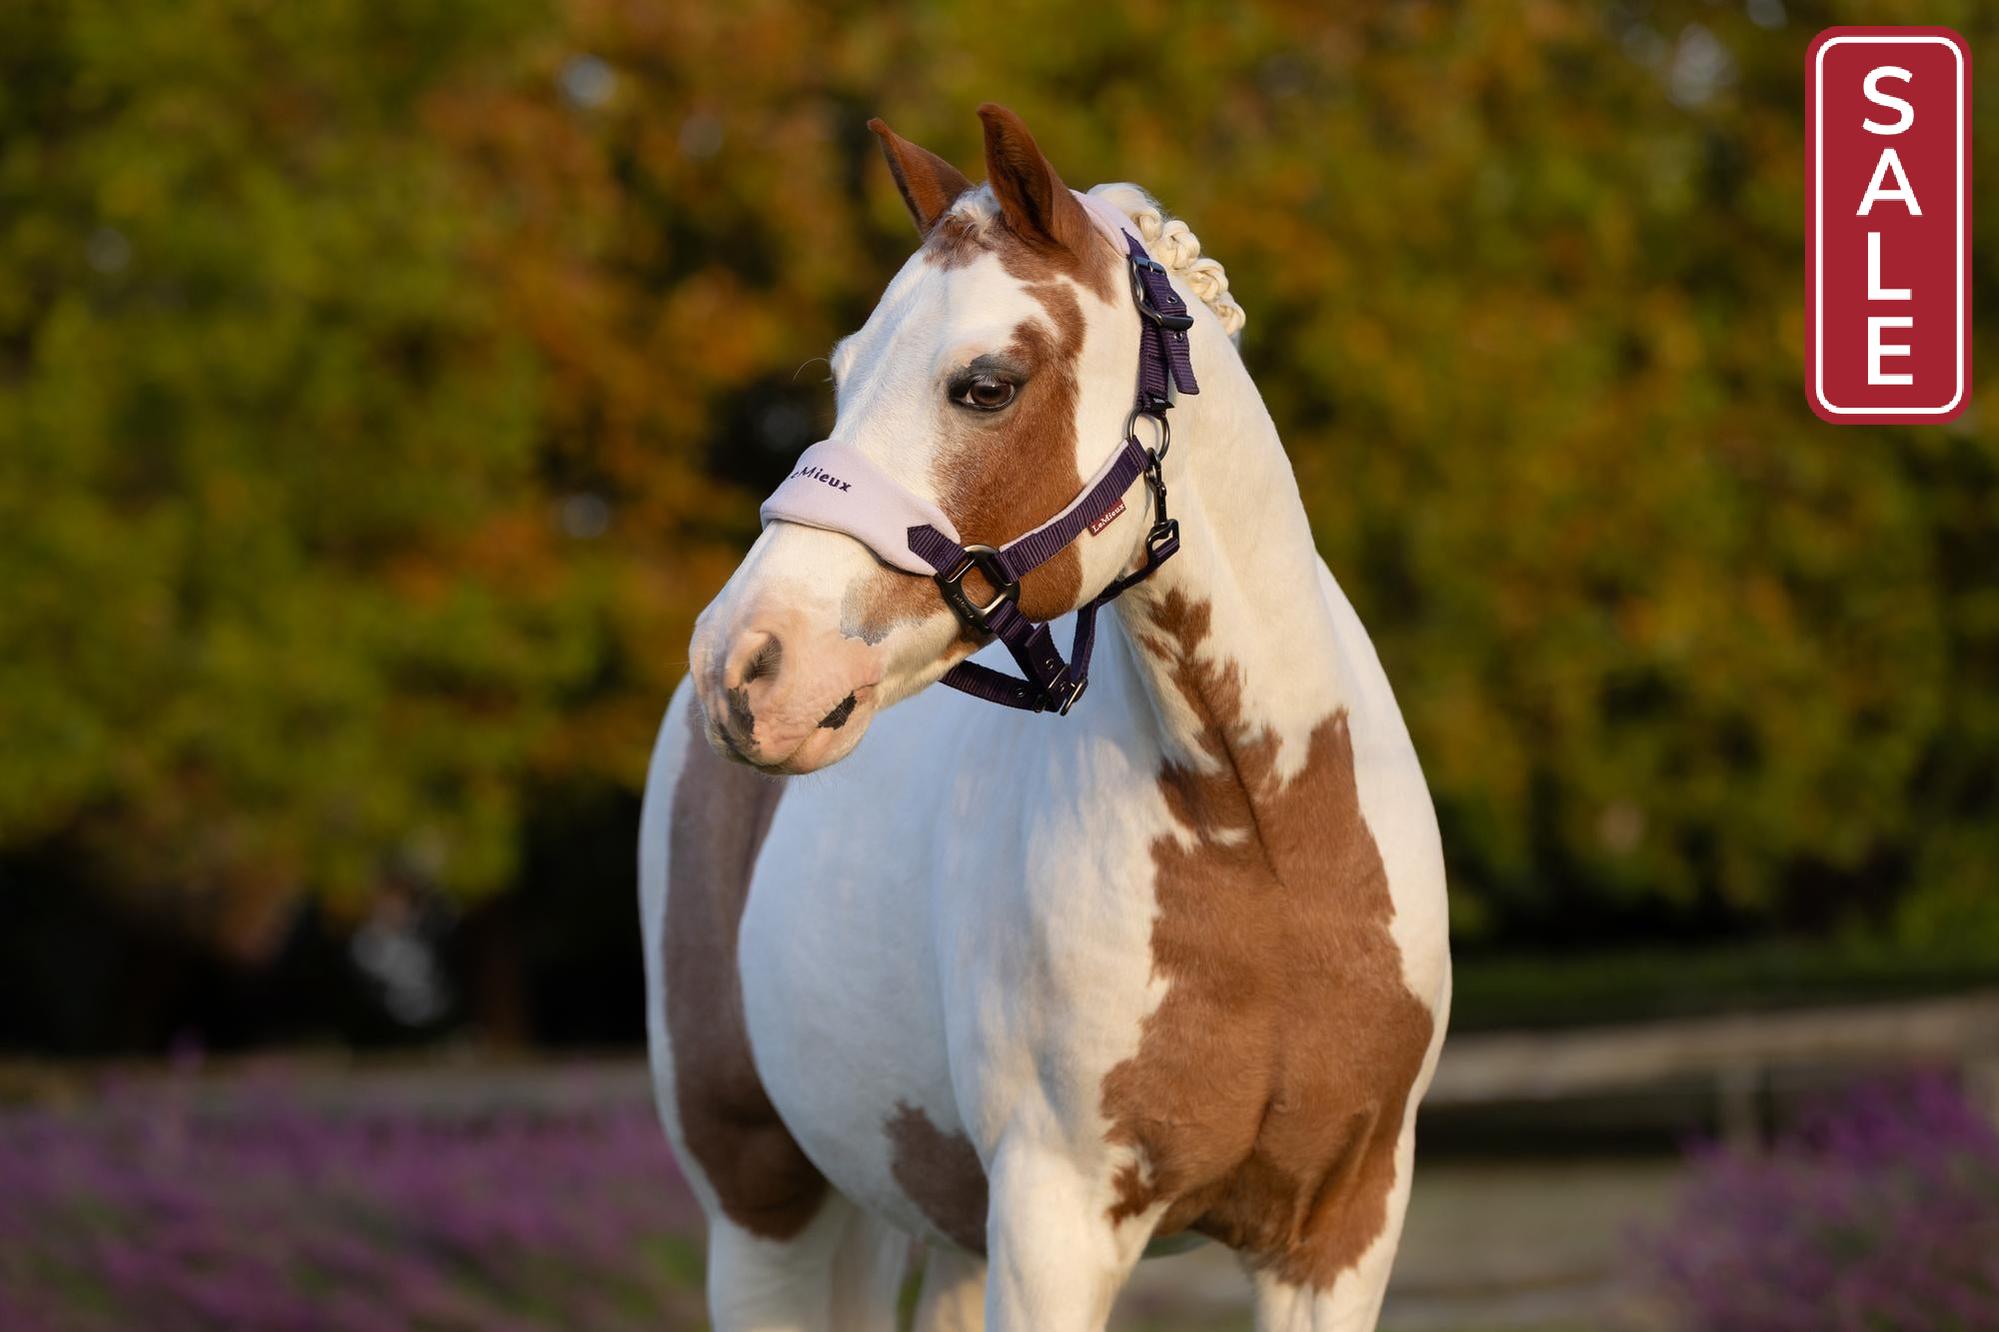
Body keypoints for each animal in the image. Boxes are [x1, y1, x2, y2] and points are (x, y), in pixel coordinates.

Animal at [639, 102, 1451, 1332]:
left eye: (985, 384)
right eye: (843, 372)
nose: (746, 661)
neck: (1265, 845)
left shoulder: (1337, 1232)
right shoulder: (1055, 1222)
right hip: (761, 1203)